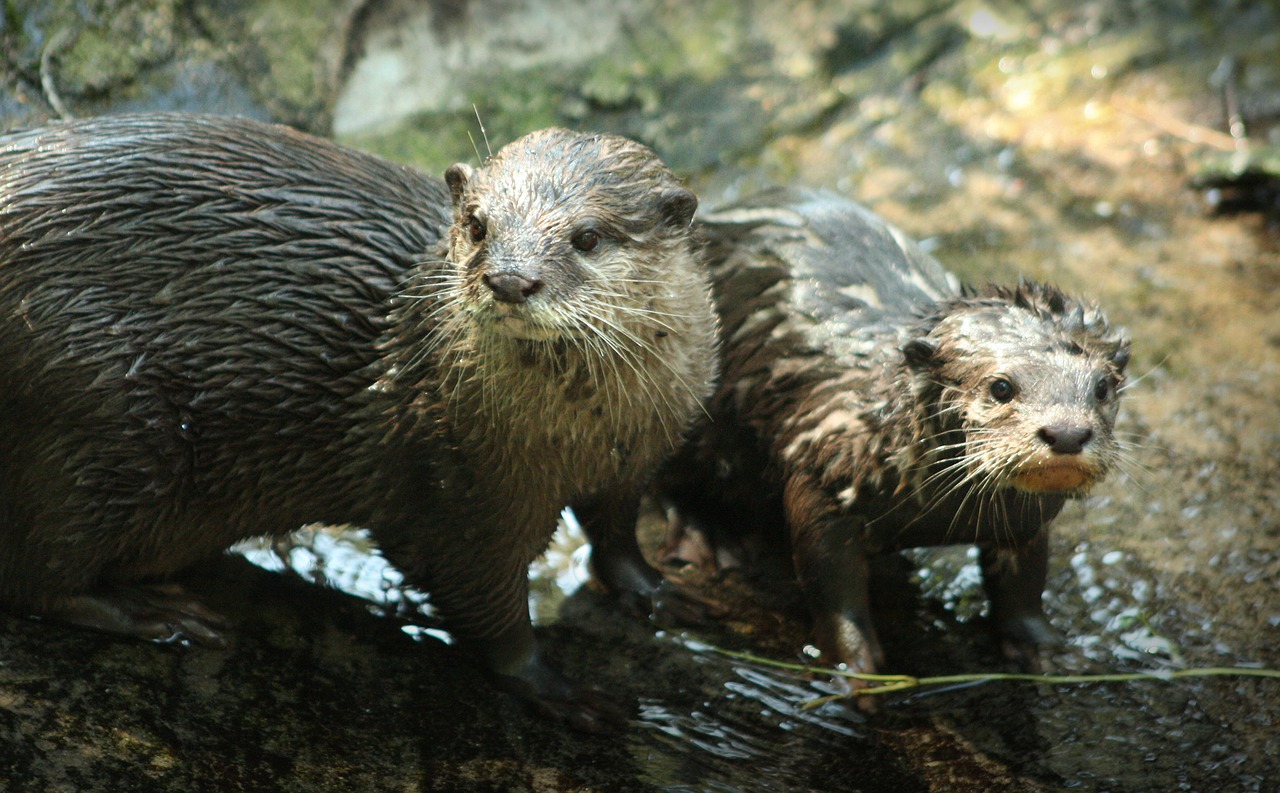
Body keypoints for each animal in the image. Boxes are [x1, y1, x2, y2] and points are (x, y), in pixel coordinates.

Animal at [0, 114, 721, 726]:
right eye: (478, 224)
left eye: (588, 237)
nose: (511, 280)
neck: (587, 434)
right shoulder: (456, 488)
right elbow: (485, 602)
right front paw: (555, 687)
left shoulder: (643, 452)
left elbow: (615, 531)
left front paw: (662, 591)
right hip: (93, 426)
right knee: (39, 576)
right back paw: (157, 613)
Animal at [660, 189, 1131, 680]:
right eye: (1001, 387)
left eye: (1102, 386)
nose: (1067, 433)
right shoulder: (823, 467)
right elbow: (829, 581)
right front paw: (853, 665)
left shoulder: (1027, 519)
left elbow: (1024, 583)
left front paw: (1041, 647)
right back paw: (706, 535)